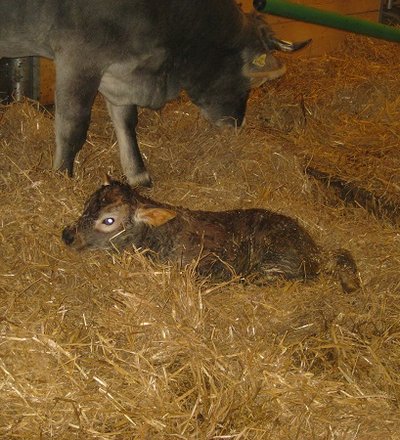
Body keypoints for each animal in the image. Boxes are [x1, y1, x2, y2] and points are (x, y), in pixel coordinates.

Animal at [0, 0, 310, 186]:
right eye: (250, 85)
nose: (236, 124)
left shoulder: (118, 71)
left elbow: (126, 122)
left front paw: (138, 174)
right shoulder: (79, 58)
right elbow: (73, 128)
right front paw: (62, 179)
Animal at [62, 177, 360, 293]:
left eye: (109, 220)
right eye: (87, 204)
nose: (67, 235)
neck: (157, 239)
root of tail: (315, 251)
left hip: (277, 262)